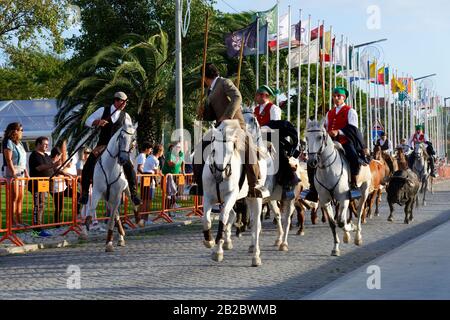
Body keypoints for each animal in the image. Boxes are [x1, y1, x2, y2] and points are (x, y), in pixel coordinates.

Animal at [80, 121, 138, 251]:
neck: (110, 166)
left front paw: (109, 243)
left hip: (125, 191)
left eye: (133, 139)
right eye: (121, 137)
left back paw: (137, 220)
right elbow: (92, 209)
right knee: (114, 212)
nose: (123, 159)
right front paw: (86, 227)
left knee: (131, 201)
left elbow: (111, 219)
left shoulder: (117, 195)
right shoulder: (97, 191)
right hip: (106, 196)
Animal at [200, 119, 264, 266]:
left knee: (256, 224)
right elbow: (206, 220)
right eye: (214, 150)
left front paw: (218, 251)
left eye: (231, 151)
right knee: (236, 215)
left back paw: (256, 256)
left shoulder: (230, 196)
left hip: (255, 197)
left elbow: (222, 218)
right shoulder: (208, 197)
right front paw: (209, 241)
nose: (220, 175)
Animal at [243, 111, 302, 254]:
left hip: (290, 199)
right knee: (278, 215)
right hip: (272, 199)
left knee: (287, 220)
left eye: (252, 120)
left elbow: (257, 222)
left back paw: (284, 244)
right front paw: (252, 246)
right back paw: (278, 240)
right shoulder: (249, 198)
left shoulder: (258, 198)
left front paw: (255, 248)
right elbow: (253, 220)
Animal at [306, 120, 372, 258]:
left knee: (359, 211)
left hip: (364, 191)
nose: (312, 162)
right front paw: (336, 247)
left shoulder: (343, 198)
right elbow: (333, 223)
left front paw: (350, 228)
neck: (328, 169)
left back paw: (357, 236)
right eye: (306, 138)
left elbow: (341, 222)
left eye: (320, 137)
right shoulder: (325, 200)